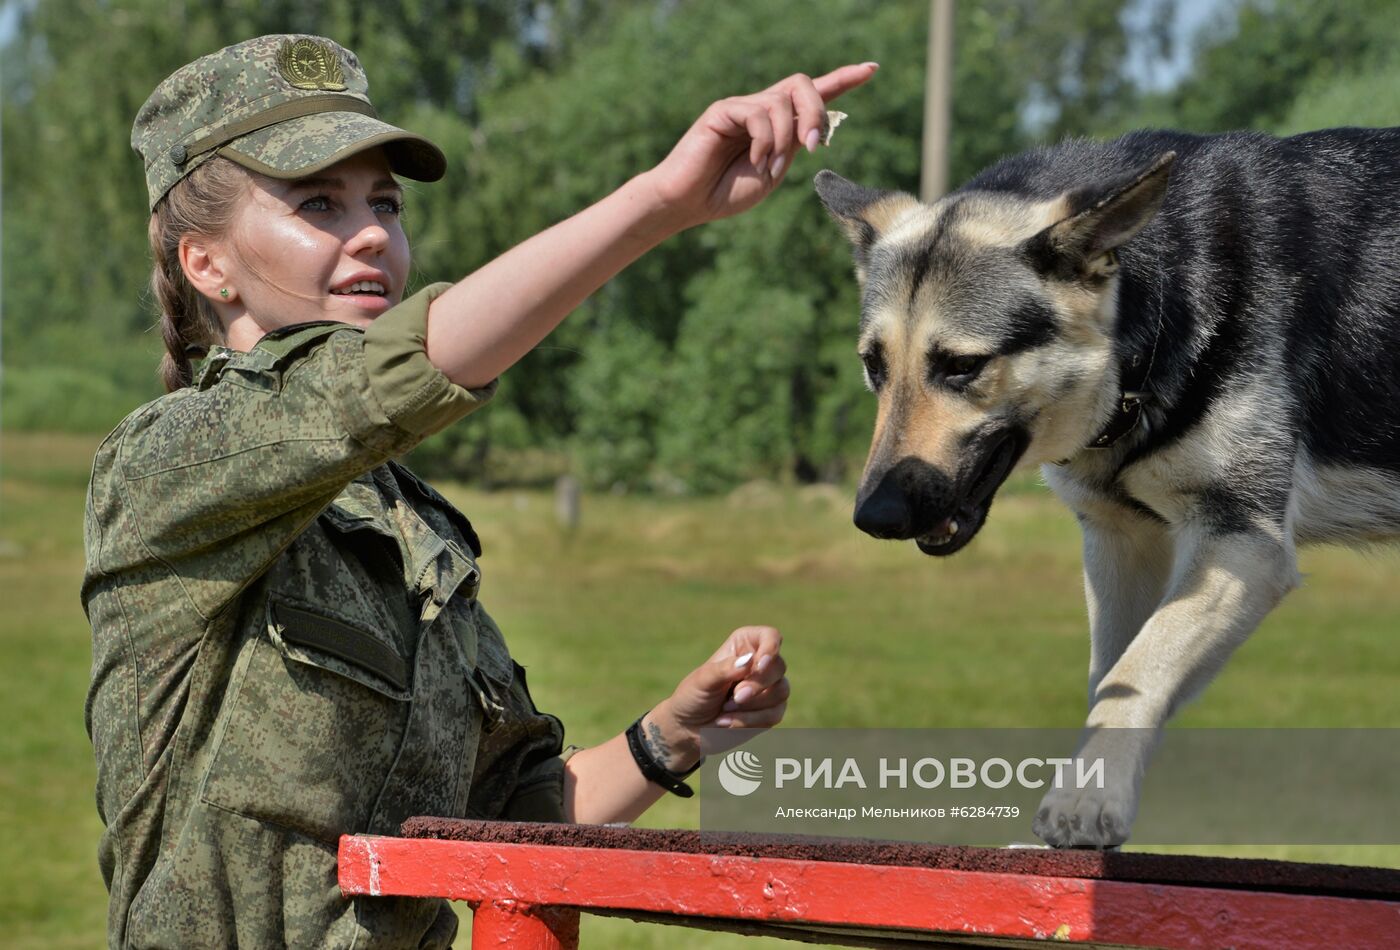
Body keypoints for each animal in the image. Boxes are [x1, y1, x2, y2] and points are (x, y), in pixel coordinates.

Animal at [817, 126, 1400, 845]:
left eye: (961, 367)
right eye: (874, 366)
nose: (876, 516)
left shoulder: (1240, 542)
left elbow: (1143, 664)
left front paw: (1085, 800)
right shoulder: (1121, 544)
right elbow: (1113, 679)